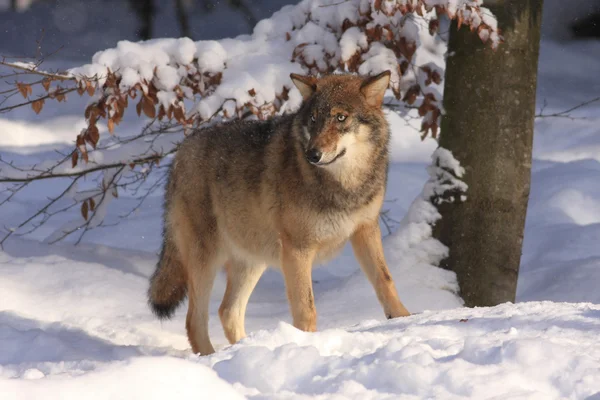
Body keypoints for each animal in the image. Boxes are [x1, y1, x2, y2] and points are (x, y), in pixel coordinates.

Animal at [147, 70, 410, 354]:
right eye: (313, 119)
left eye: (341, 117)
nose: (312, 154)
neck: (343, 186)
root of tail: (180, 152)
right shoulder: (298, 249)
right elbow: (306, 307)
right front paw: (307, 343)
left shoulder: (366, 230)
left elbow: (386, 280)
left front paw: (405, 319)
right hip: (206, 260)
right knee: (195, 319)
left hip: (253, 260)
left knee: (227, 312)